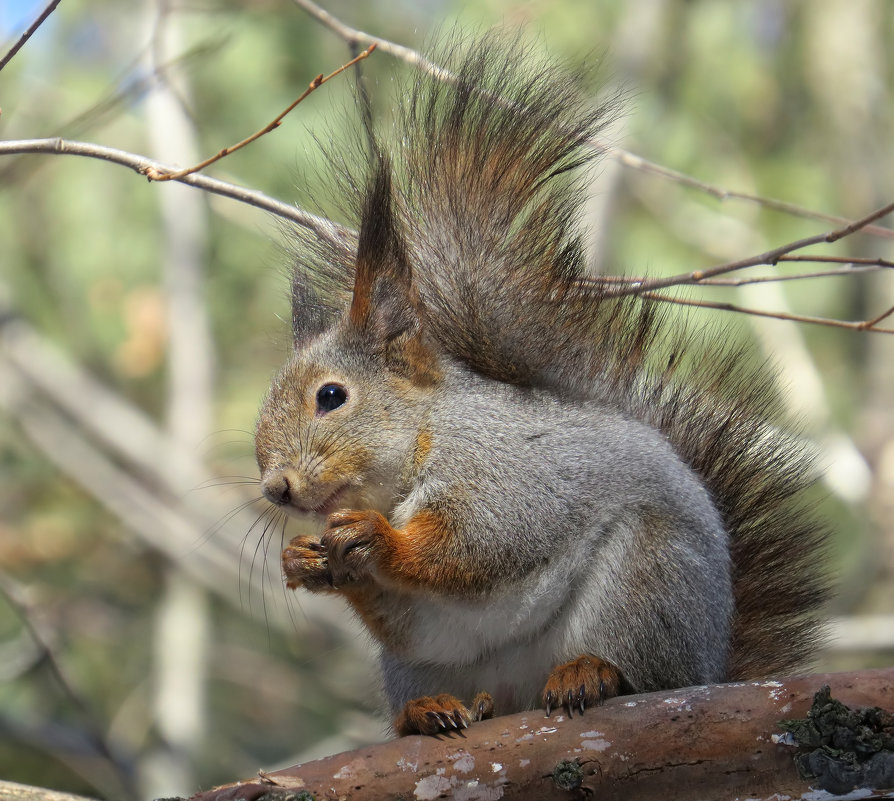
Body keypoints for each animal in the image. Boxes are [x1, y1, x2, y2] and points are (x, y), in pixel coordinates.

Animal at [256, 32, 828, 736]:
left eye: (331, 397)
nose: (276, 489)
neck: (427, 436)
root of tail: (711, 668)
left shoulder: (513, 477)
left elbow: (479, 542)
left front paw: (376, 539)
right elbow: (418, 620)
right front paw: (304, 559)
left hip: (647, 582)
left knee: (641, 669)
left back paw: (593, 673)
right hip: (427, 667)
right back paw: (431, 710)